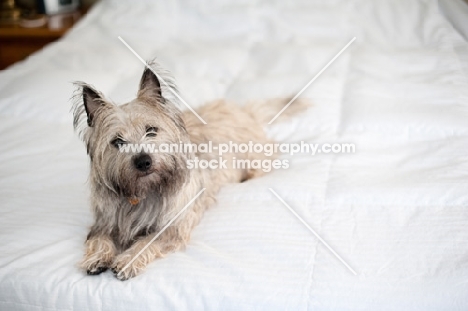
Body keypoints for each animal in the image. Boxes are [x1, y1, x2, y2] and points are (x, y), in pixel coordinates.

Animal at [72, 62, 308, 282]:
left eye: (151, 130)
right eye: (118, 141)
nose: (143, 161)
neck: (144, 191)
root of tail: (244, 111)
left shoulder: (172, 228)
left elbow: (146, 241)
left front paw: (128, 260)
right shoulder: (103, 222)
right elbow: (99, 239)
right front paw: (96, 257)